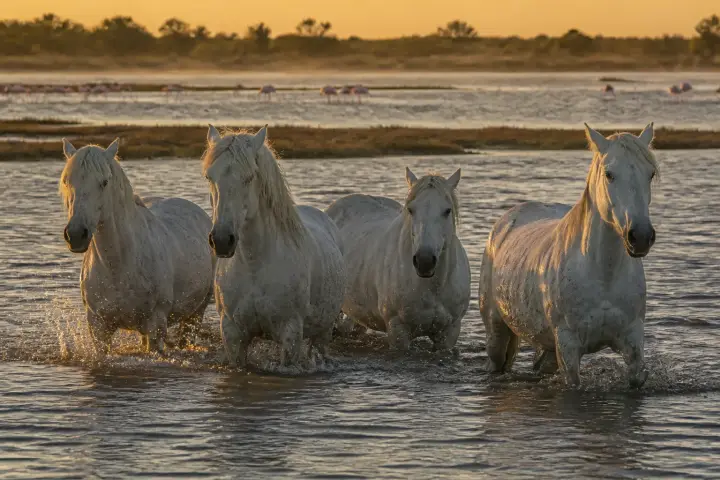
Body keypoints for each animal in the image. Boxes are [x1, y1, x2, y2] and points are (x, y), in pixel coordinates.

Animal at [59, 139, 215, 354]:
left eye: (104, 182)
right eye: (67, 181)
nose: (75, 235)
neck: (118, 265)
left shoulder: (156, 325)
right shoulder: (98, 327)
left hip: (195, 313)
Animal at [203, 125, 346, 368]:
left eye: (250, 177)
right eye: (209, 176)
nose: (222, 240)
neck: (255, 264)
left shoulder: (290, 333)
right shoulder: (232, 334)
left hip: (323, 332)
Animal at [326, 168, 471, 351]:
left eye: (447, 210)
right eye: (411, 210)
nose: (424, 262)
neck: (432, 288)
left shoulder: (449, 333)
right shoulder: (398, 331)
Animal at [478, 123, 658, 387]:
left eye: (651, 174)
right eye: (609, 174)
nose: (641, 236)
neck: (602, 274)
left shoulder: (633, 339)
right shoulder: (568, 346)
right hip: (497, 332)